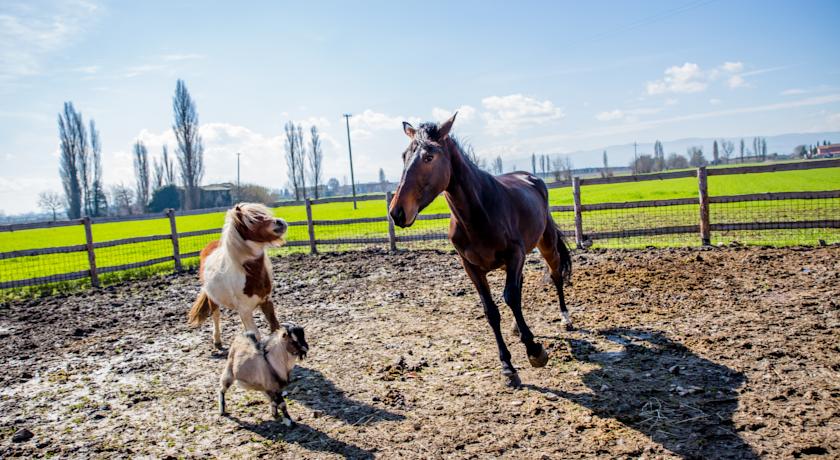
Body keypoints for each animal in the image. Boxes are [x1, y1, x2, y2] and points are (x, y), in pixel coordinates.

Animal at [188, 202, 288, 348]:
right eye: (251, 221)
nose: (280, 222)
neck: (249, 273)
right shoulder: (244, 310)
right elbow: (256, 335)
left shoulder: (266, 301)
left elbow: (275, 327)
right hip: (213, 300)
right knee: (216, 316)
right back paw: (217, 340)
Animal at [390, 113, 576, 386]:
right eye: (404, 156)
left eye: (429, 157)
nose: (397, 212)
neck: (478, 212)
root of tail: (531, 178)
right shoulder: (471, 267)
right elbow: (491, 311)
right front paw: (507, 366)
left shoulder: (514, 255)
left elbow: (510, 297)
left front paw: (534, 350)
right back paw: (517, 327)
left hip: (546, 245)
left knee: (555, 276)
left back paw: (565, 318)